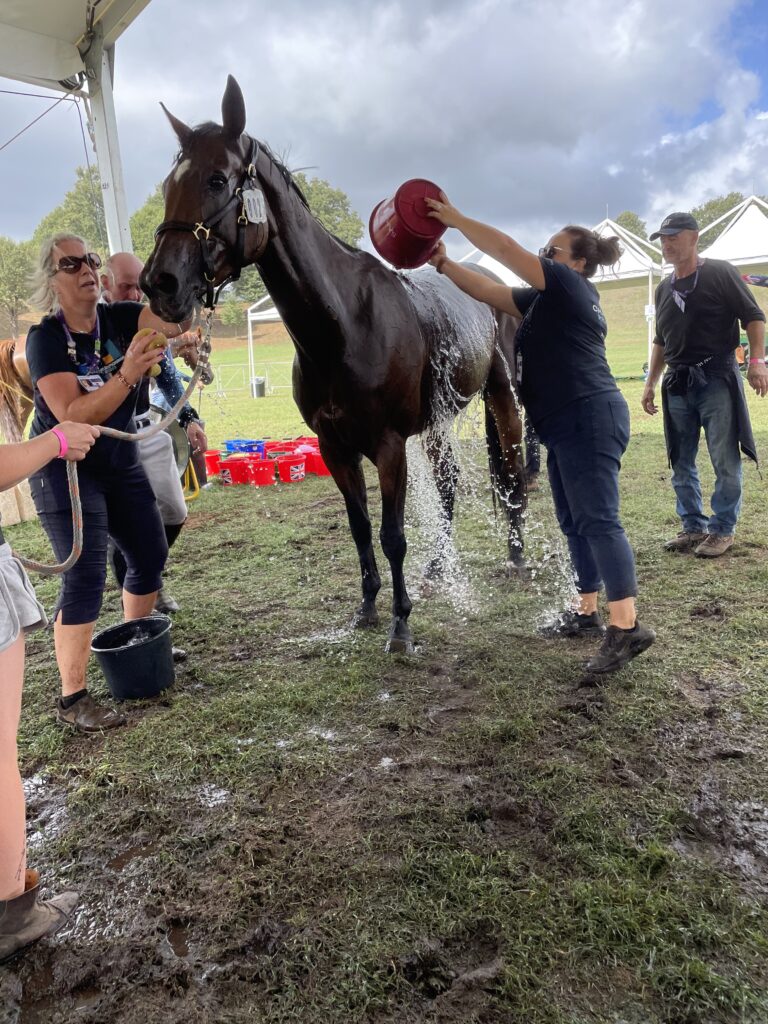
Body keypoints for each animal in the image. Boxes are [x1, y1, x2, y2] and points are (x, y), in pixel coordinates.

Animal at [141, 77, 528, 655]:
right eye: (170, 184)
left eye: (217, 179)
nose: (159, 284)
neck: (343, 325)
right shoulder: (335, 448)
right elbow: (360, 529)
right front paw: (367, 608)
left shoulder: (389, 446)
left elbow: (392, 537)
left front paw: (400, 624)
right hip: (438, 423)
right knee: (449, 484)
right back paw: (439, 569)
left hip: (503, 397)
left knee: (515, 474)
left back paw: (518, 555)